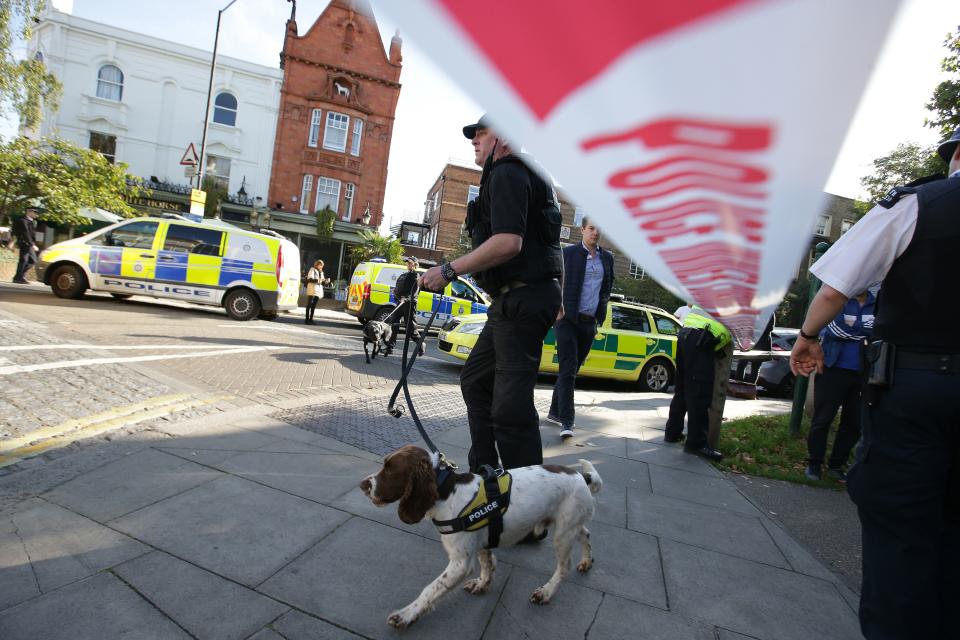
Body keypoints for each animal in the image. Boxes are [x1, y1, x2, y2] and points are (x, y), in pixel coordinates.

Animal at [360, 442, 600, 628]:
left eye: (390, 470)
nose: (362, 485)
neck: (447, 492)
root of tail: (581, 475)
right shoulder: (481, 542)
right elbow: (487, 563)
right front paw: (482, 584)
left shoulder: (460, 563)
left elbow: (431, 589)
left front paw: (406, 614)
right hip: (569, 525)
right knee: (586, 533)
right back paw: (587, 561)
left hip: (562, 533)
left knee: (564, 566)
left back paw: (547, 592)